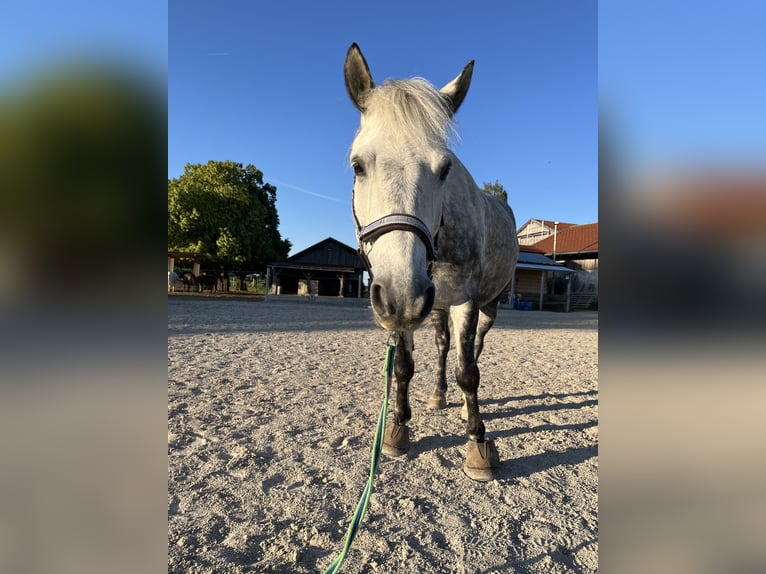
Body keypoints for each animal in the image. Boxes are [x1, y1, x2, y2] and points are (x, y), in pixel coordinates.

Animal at [344, 43, 519, 481]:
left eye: (445, 169)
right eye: (358, 165)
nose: (404, 295)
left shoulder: (465, 301)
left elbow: (468, 372)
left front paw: (477, 441)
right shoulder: (398, 300)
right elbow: (404, 366)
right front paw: (398, 428)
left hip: (487, 305)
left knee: (473, 349)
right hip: (433, 304)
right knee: (442, 346)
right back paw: (439, 395)